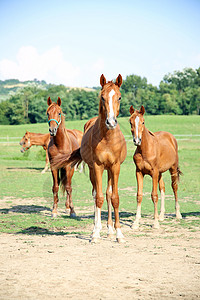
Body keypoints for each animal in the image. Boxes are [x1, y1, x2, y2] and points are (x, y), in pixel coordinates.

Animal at [51, 74, 126, 243]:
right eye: (102, 97)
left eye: (119, 97)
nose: (111, 122)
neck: (108, 138)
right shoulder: (97, 166)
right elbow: (98, 198)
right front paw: (96, 233)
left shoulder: (116, 167)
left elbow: (114, 198)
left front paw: (118, 233)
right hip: (93, 170)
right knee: (96, 193)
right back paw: (95, 228)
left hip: (109, 170)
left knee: (108, 194)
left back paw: (109, 229)